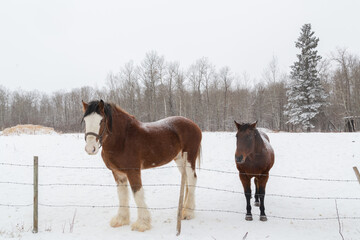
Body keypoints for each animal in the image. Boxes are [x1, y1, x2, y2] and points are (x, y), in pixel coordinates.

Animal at [80, 100, 202, 232]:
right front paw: (121, 220)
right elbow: (122, 194)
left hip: (189, 159)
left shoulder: (133, 171)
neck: (123, 139)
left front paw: (142, 224)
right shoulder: (117, 173)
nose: (90, 149)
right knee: (187, 181)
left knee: (192, 180)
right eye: (85, 120)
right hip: (179, 159)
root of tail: (194, 125)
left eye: (101, 121)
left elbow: (137, 193)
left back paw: (188, 213)